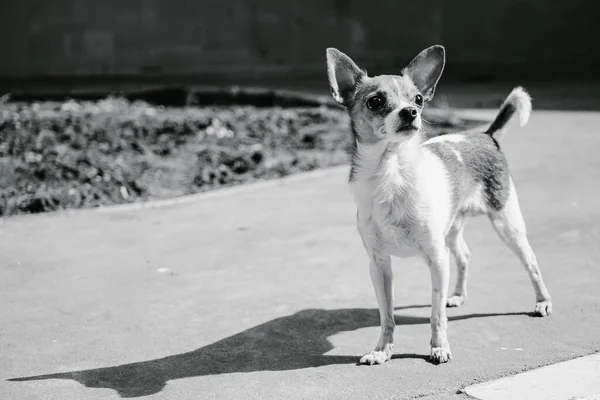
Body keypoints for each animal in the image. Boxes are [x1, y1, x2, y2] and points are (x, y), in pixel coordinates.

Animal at [326, 45, 552, 364]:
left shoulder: (436, 259)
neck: (392, 173)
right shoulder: (379, 265)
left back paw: (542, 302)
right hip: (453, 230)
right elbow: (387, 315)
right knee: (465, 255)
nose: (410, 112)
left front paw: (439, 347)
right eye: (376, 101)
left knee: (531, 262)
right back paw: (457, 296)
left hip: (506, 223)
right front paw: (382, 350)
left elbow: (435, 315)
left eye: (418, 99)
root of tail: (486, 134)